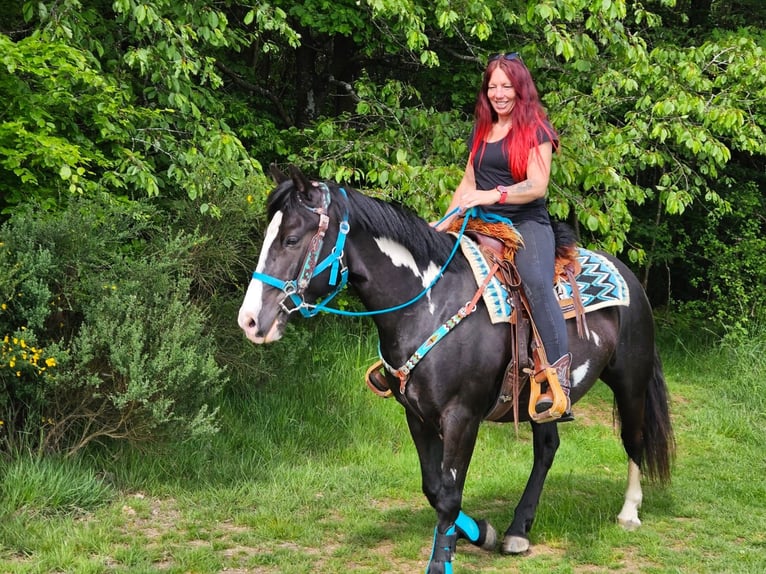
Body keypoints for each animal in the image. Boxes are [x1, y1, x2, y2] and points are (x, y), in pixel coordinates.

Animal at [238, 165, 674, 573]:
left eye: (291, 239)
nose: (250, 321)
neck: (429, 302)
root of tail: (629, 277)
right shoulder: (416, 415)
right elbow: (433, 488)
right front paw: (482, 532)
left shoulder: (461, 417)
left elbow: (449, 494)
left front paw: (440, 561)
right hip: (542, 401)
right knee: (547, 448)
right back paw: (518, 531)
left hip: (631, 382)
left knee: (634, 439)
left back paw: (629, 513)